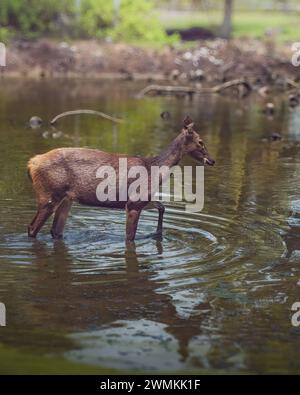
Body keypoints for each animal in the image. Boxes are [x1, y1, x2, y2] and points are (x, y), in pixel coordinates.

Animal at [27, 116, 213, 243]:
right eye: (200, 141)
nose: (212, 160)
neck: (154, 169)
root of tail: (31, 163)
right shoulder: (133, 204)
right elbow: (129, 238)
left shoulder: (139, 199)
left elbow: (161, 206)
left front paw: (157, 233)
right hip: (49, 195)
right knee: (32, 228)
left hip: (66, 198)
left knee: (55, 231)